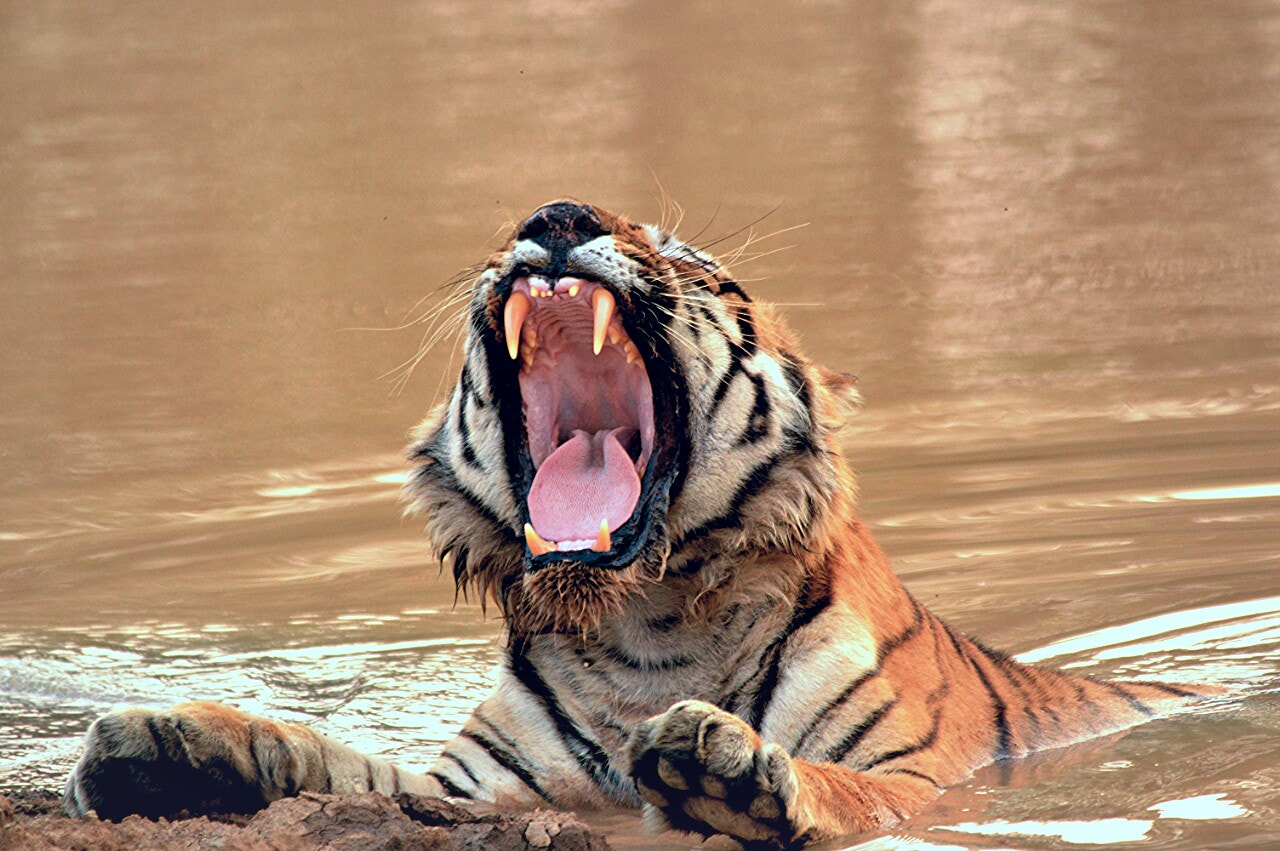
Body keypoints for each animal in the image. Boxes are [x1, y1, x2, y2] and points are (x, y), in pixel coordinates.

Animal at [62, 200, 1215, 847]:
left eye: (695, 261)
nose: (560, 212)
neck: (642, 630)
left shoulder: (923, 780)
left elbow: (847, 786)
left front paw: (724, 765)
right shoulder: (463, 789)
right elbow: (334, 759)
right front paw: (170, 742)